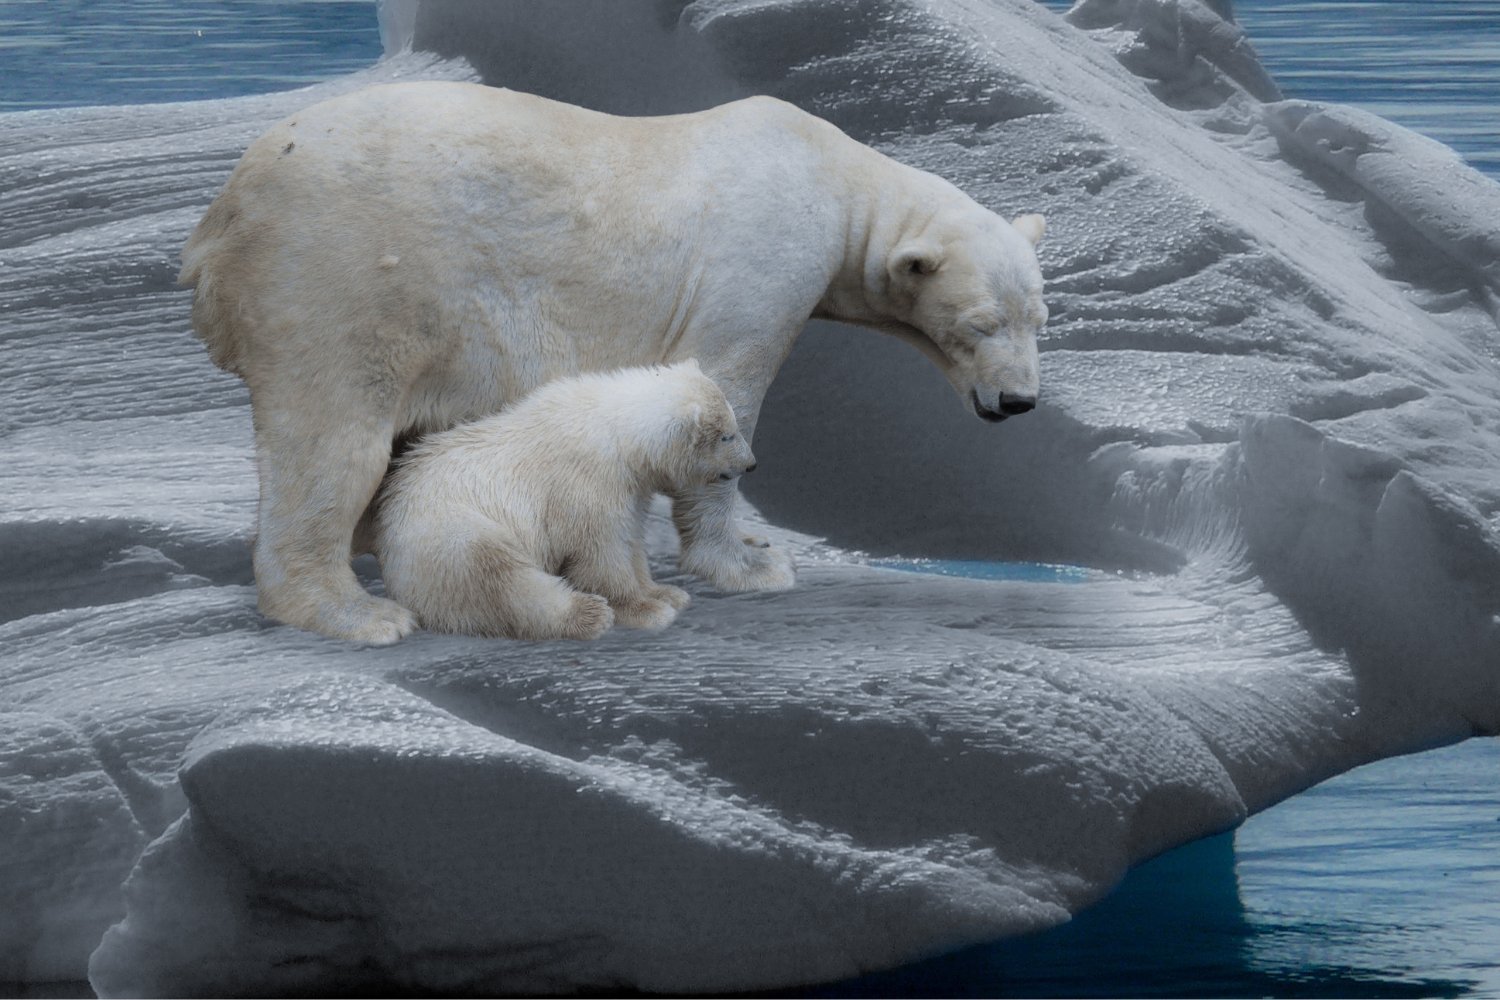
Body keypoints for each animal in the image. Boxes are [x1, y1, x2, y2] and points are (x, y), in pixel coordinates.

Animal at [373, 361, 756, 640]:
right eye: (727, 435)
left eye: (734, 425)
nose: (751, 464)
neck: (616, 433)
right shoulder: (586, 483)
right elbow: (600, 552)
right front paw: (645, 610)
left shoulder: (630, 487)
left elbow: (631, 539)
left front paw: (665, 593)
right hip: (452, 533)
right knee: (501, 579)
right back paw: (588, 613)